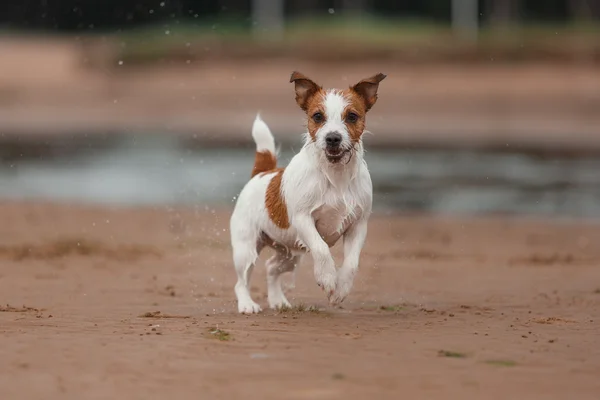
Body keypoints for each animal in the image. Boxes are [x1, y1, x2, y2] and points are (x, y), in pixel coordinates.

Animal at [230, 72, 384, 314]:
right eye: (317, 116)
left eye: (352, 116)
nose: (332, 138)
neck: (335, 175)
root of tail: (263, 173)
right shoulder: (303, 219)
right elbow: (321, 248)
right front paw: (328, 277)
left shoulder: (358, 225)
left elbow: (351, 262)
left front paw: (340, 289)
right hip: (246, 249)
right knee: (241, 280)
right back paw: (247, 304)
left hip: (289, 252)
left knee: (271, 267)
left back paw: (278, 300)